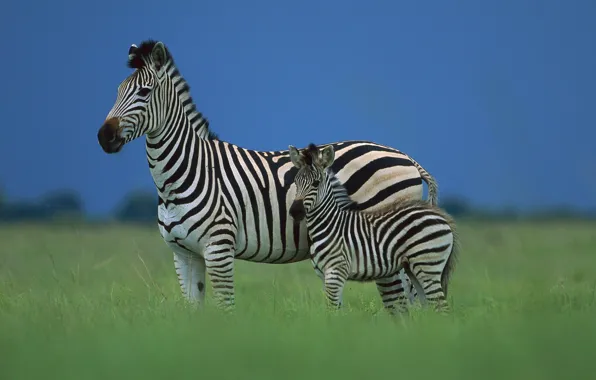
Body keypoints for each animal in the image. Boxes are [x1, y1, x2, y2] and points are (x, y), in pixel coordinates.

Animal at [94, 40, 438, 310]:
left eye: (144, 91)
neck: (184, 174)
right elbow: (194, 314)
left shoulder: (219, 249)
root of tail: (407, 158)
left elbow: (225, 310)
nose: (103, 137)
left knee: (403, 304)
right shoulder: (184, 254)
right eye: (117, 91)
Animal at [286, 144, 458, 314]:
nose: (295, 211)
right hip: (415, 267)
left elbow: (332, 311)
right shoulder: (324, 273)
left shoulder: (336, 270)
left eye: (315, 183)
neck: (330, 223)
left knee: (441, 306)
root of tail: (442, 217)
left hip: (427, 264)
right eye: (295, 182)